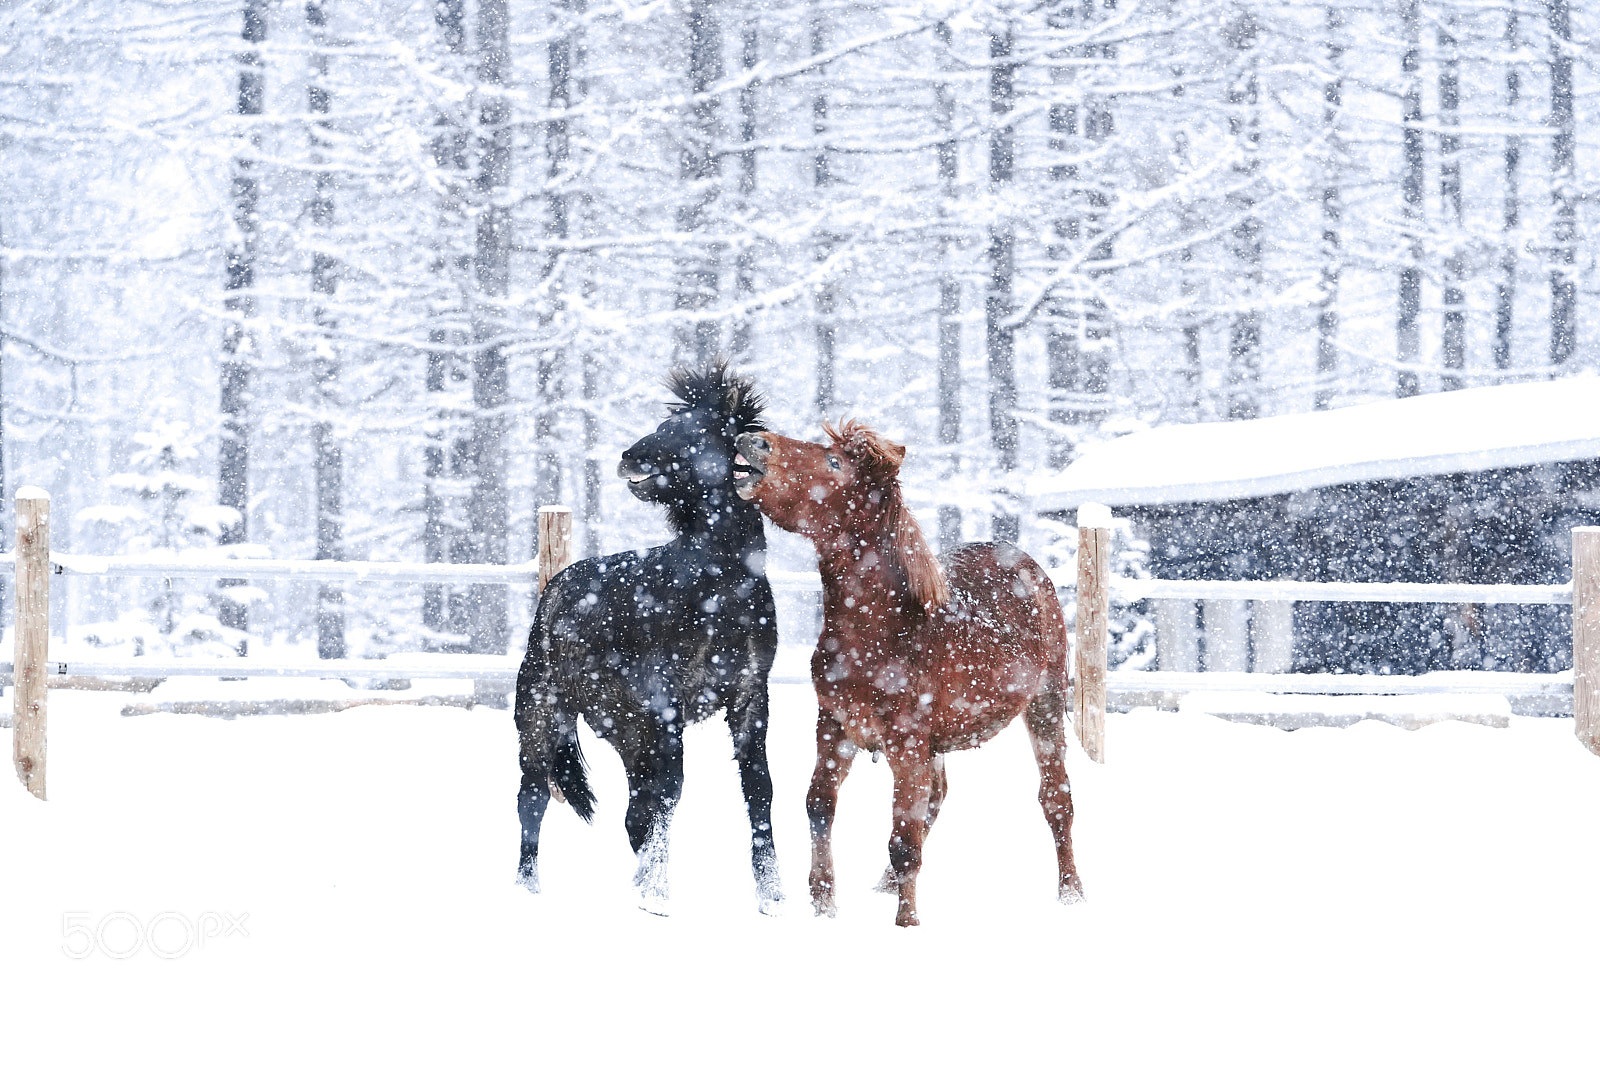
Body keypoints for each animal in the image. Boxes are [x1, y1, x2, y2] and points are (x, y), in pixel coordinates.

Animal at [514, 362, 782, 915]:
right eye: (665, 425)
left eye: (695, 432)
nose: (628, 457)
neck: (719, 586)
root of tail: (556, 586)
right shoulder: (665, 700)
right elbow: (671, 791)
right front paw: (657, 895)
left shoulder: (750, 697)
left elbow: (758, 789)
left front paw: (773, 897)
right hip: (543, 715)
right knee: (532, 799)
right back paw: (527, 890)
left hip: (627, 730)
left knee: (634, 810)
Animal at [733, 419, 1083, 926]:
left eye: (834, 462)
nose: (753, 439)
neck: (883, 630)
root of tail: (1028, 564)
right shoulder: (835, 726)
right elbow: (819, 805)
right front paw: (823, 905)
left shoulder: (906, 741)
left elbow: (902, 838)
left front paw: (907, 923)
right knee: (937, 796)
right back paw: (882, 884)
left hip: (1045, 706)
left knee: (1056, 799)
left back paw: (1072, 894)